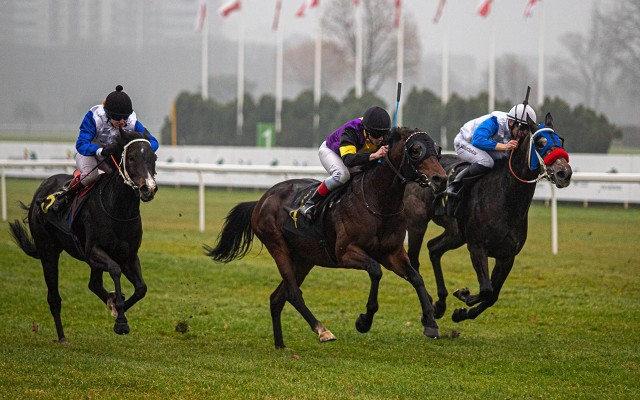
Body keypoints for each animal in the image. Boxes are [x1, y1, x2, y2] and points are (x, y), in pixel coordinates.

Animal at [8, 130, 158, 342]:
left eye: (154, 158)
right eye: (131, 158)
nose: (149, 188)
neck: (119, 210)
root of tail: (43, 187)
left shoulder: (128, 255)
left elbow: (141, 288)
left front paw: (117, 308)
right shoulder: (94, 250)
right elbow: (115, 270)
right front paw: (120, 319)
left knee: (93, 284)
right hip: (48, 250)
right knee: (54, 297)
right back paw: (62, 337)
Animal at [204, 127, 444, 346]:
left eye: (437, 149)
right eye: (415, 150)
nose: (440, 177)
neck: (378, 202)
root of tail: (261, 200)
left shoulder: (392, 253)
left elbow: (416, 278)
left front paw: (431, 322)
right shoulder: (345, 252)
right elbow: (375, 271)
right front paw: (364, 321)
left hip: (304, 259)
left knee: (278, 297)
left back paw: (280, 344)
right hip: (277, 246)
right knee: (293, 294)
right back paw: (322, 330)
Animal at [404, 111, 568, 322]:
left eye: (560, 140)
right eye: (540, 142)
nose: (564, 172)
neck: (506, 199)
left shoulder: (507, 255)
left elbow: (492, 295)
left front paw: (461, 312)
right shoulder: (477, 247)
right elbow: (486, 289)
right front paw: (463, 295)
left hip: (456, 233)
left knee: (433, 248)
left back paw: (440, 304)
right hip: (417, 223)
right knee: (413, 260)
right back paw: (430, 306)